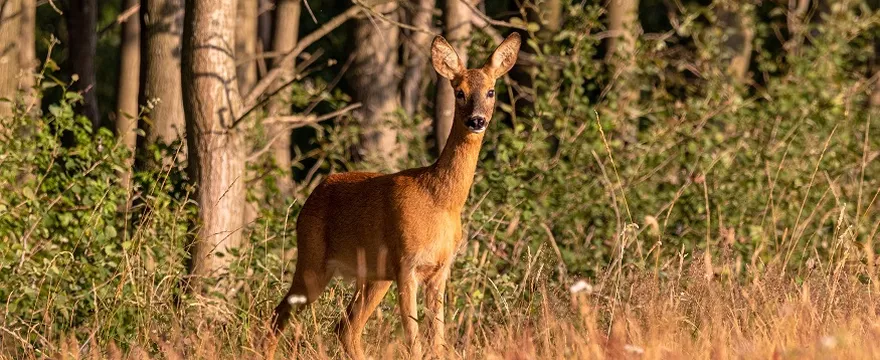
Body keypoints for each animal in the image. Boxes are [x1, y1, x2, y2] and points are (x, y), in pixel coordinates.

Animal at [264, 31, 520, 360]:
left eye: (490, 91)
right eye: (459, 92)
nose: (477, 120)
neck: (440, 199)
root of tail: (312, 196)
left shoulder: (440, 270)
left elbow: (438, 341)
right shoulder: (406, 263)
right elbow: (415, 341)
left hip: (373, 275)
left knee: (345, 328)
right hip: (313, 259)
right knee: (279, 316)